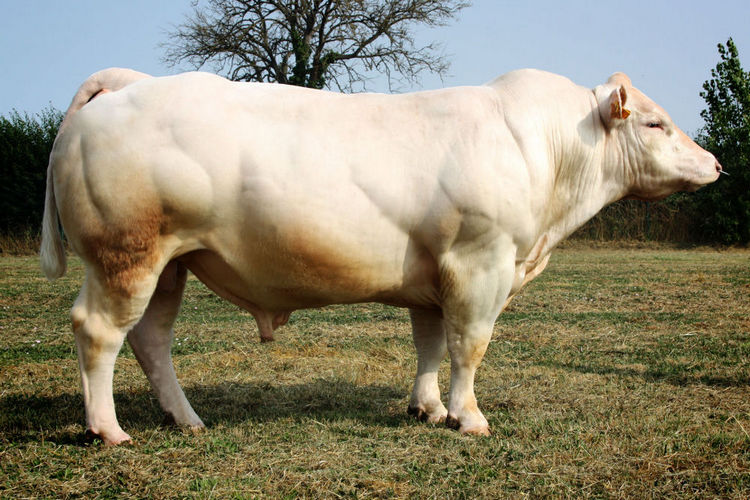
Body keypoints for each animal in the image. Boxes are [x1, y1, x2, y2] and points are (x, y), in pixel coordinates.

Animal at [40, 67, 721, 445]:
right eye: (655, 124)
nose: (715, 163)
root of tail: (130, 83)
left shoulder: (435, 275)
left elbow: (429, 344)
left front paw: (427, 408)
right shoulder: (481, 261)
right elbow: (468, 346)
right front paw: (467, 416)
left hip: (170, 266)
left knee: (151, 338)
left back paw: (185, 419)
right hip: (126, 256)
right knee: (98, 331)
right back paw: (108, 430)